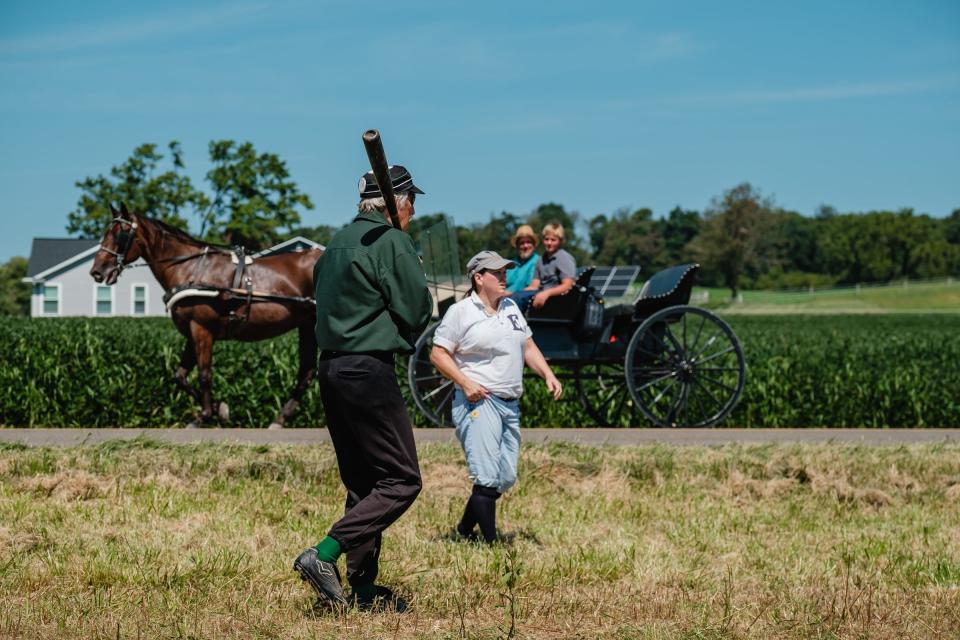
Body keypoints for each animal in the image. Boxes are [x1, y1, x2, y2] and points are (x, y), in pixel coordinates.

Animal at [90, 202, 322, 428]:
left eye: (121, 234)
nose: (97, 271)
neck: (191, 268)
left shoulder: (202, 329)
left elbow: (204, 375)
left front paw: (205, 416)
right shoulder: (191, 332)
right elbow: (180, 375)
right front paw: (220, 409)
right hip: (307, 325)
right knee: (307, 372)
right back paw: (280, 418)